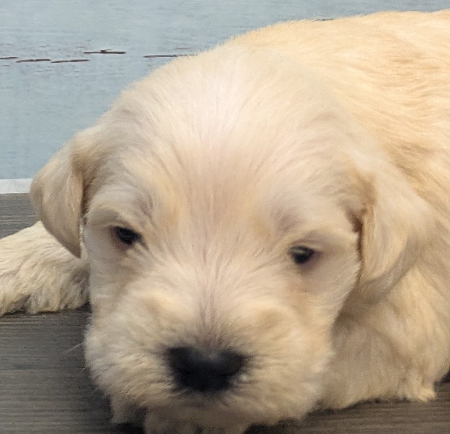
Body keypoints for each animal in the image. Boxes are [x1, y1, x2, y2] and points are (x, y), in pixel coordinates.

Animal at [1, 9, 450, 434]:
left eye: (303, 254)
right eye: (125, 235)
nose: (204, 364)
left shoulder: (406, 328)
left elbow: (311, 368)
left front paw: (178, 413)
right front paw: (16, 262)